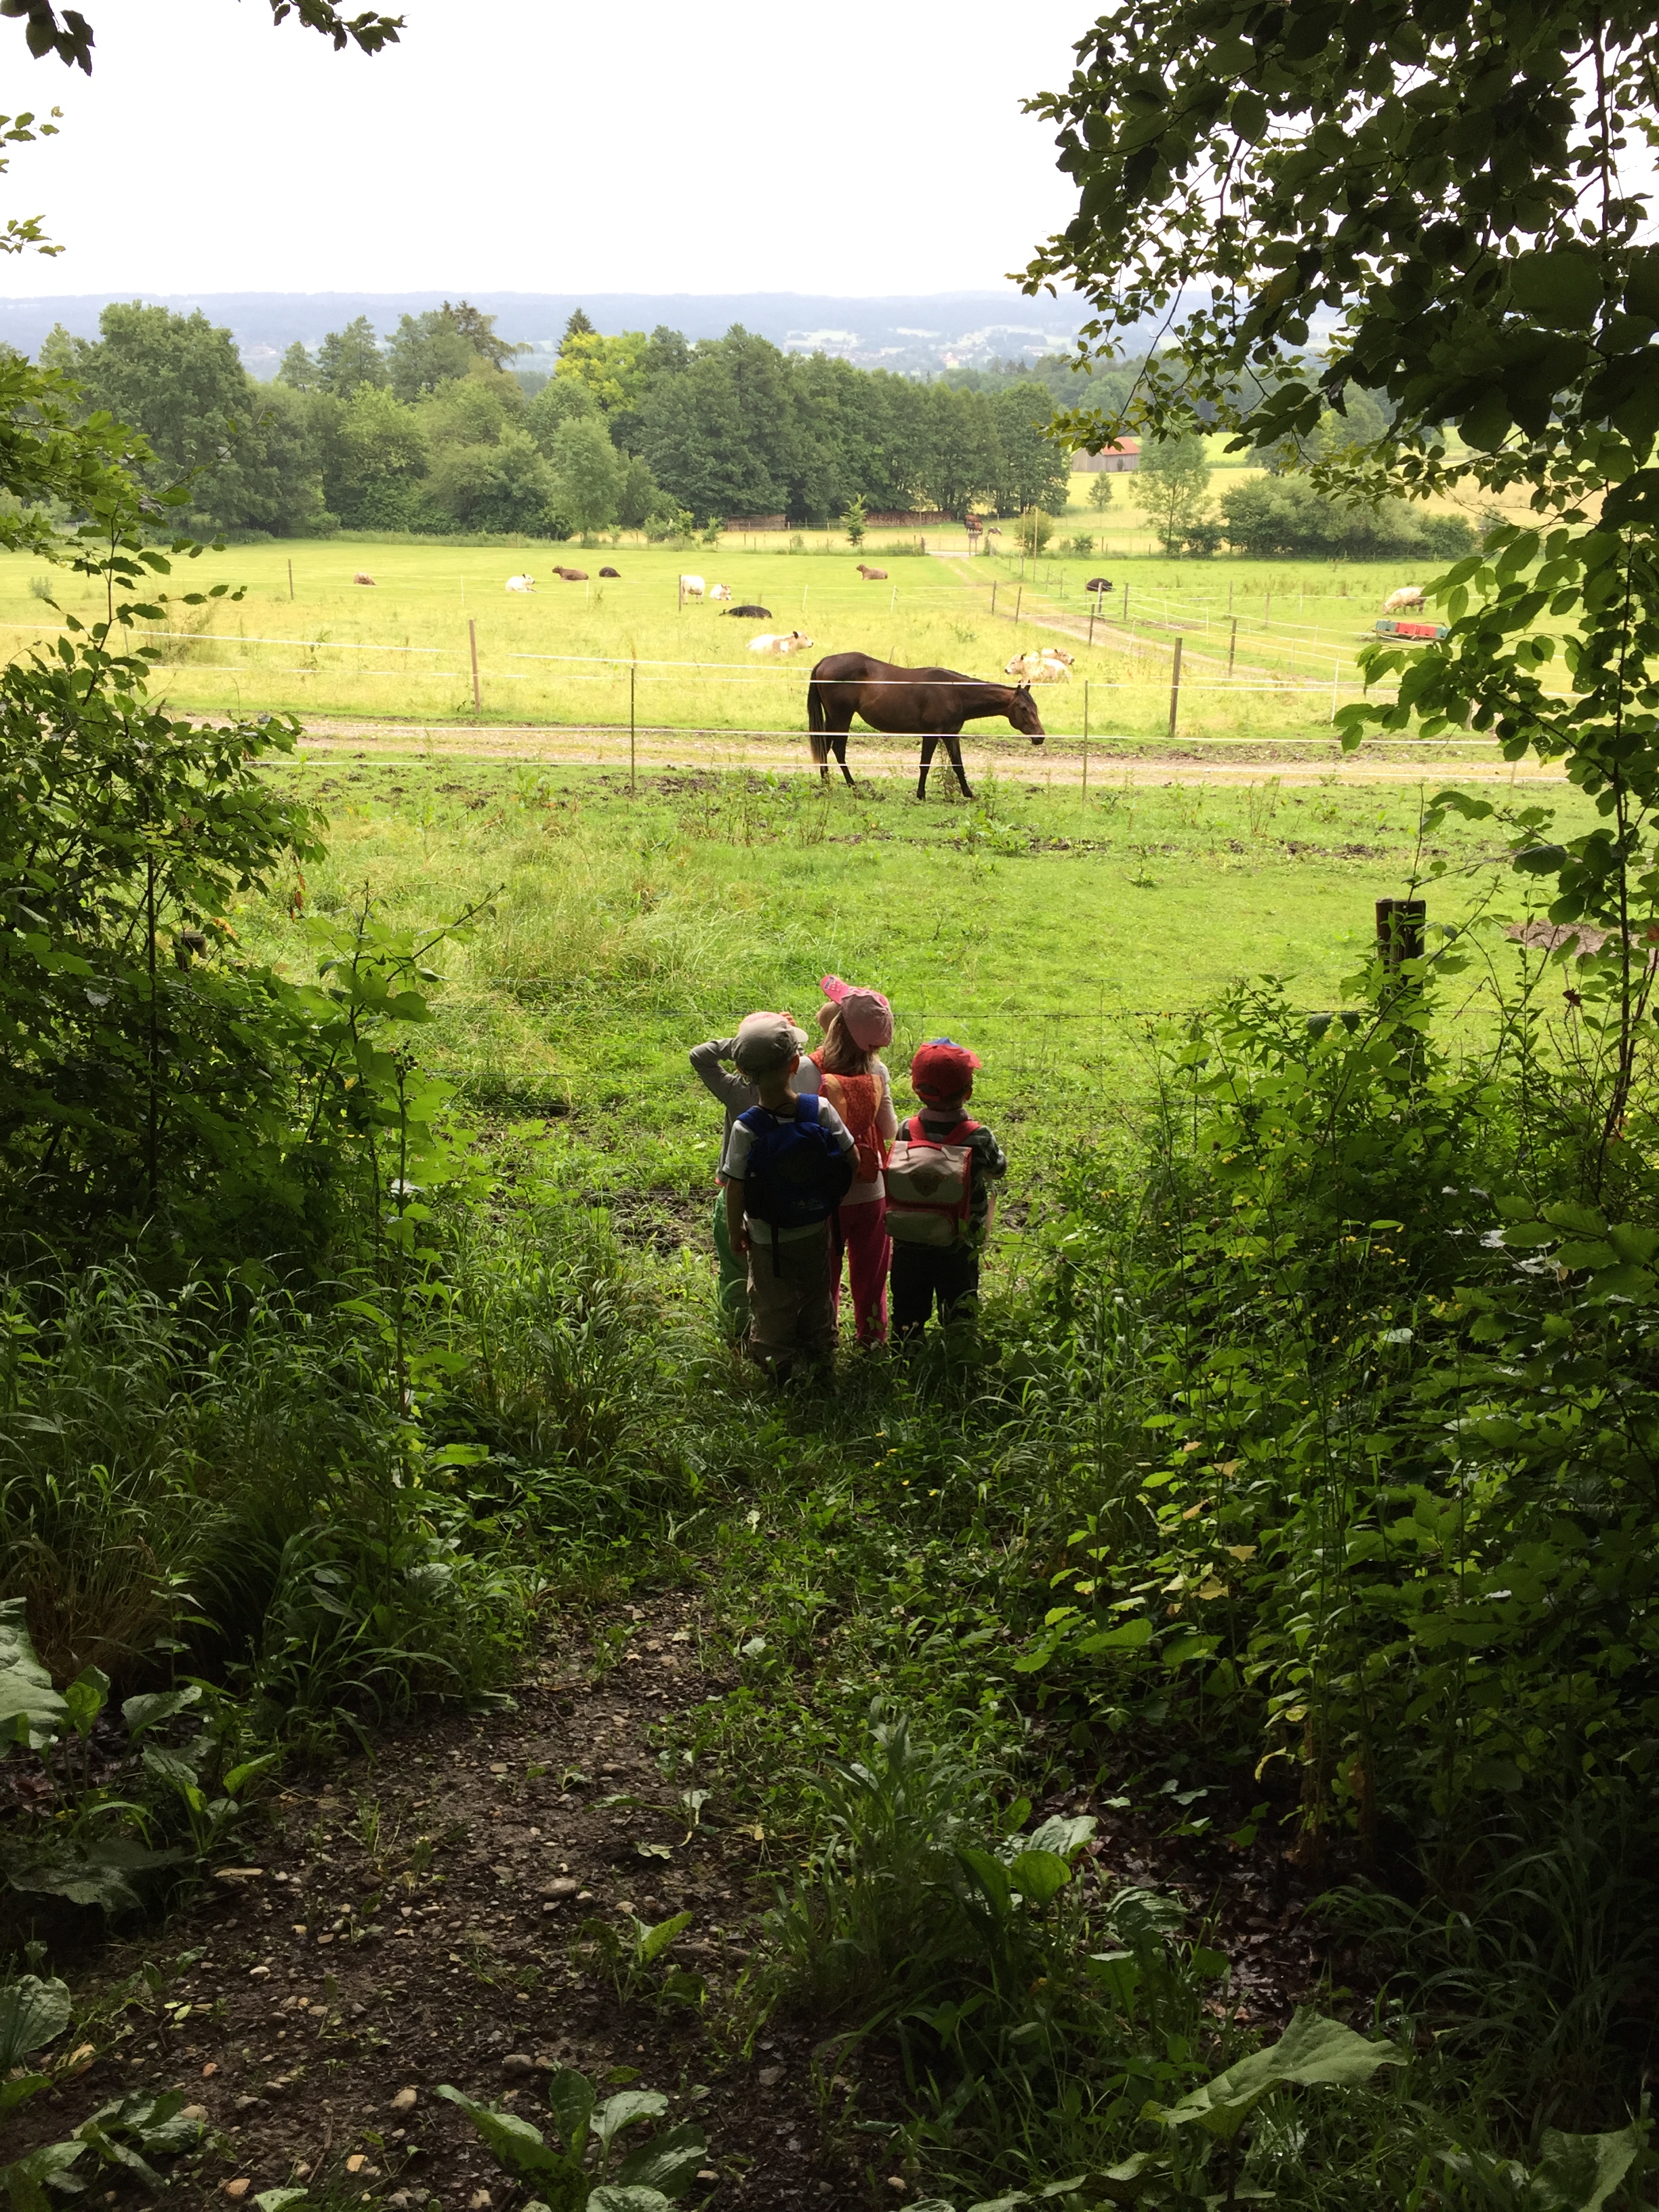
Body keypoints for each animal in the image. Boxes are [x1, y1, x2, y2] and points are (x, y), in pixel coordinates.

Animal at [800, 650, 1040, 800]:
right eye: (1024, 708)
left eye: (1035, 707)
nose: (1040, 737)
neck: (954, 692)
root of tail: (824, 662)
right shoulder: (932, 734)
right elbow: (925, 764)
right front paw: (921, 794)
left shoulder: (951, 735)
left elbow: (958, 765)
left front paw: (969, 793)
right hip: (842, 717)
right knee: (838, 749)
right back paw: (853, 787)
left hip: (834, 718)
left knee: (825, 747)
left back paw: (827, 784)